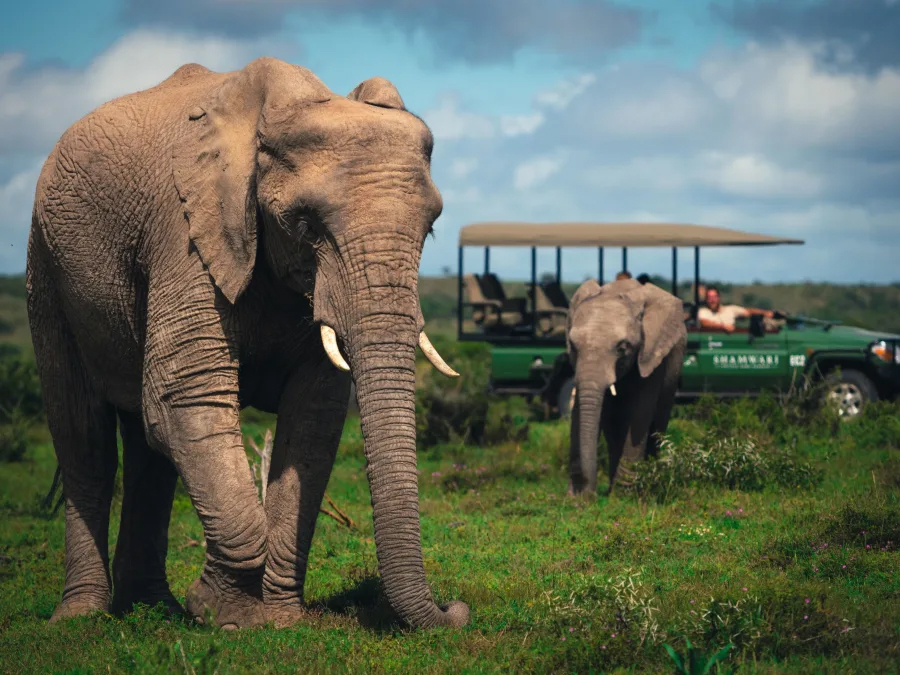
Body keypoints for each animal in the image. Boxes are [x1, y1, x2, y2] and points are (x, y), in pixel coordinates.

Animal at [26, 57, 469, 630]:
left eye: (431, 228)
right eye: (305, 224)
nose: (456, 610)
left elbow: (313, 418)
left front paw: (277, 620)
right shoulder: (186, 231)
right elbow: (185, 395)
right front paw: (224, 614)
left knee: (149, 457)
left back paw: (152, 608)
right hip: (46, 265)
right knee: (86, 441)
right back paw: (80, 618)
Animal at [565, 277, 687, 495]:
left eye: (622, 348)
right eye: (573, 345)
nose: (589, 493)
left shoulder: (651, 354)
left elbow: (640, 414)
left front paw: (624, 496)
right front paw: (577, 497)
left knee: (657, 426)